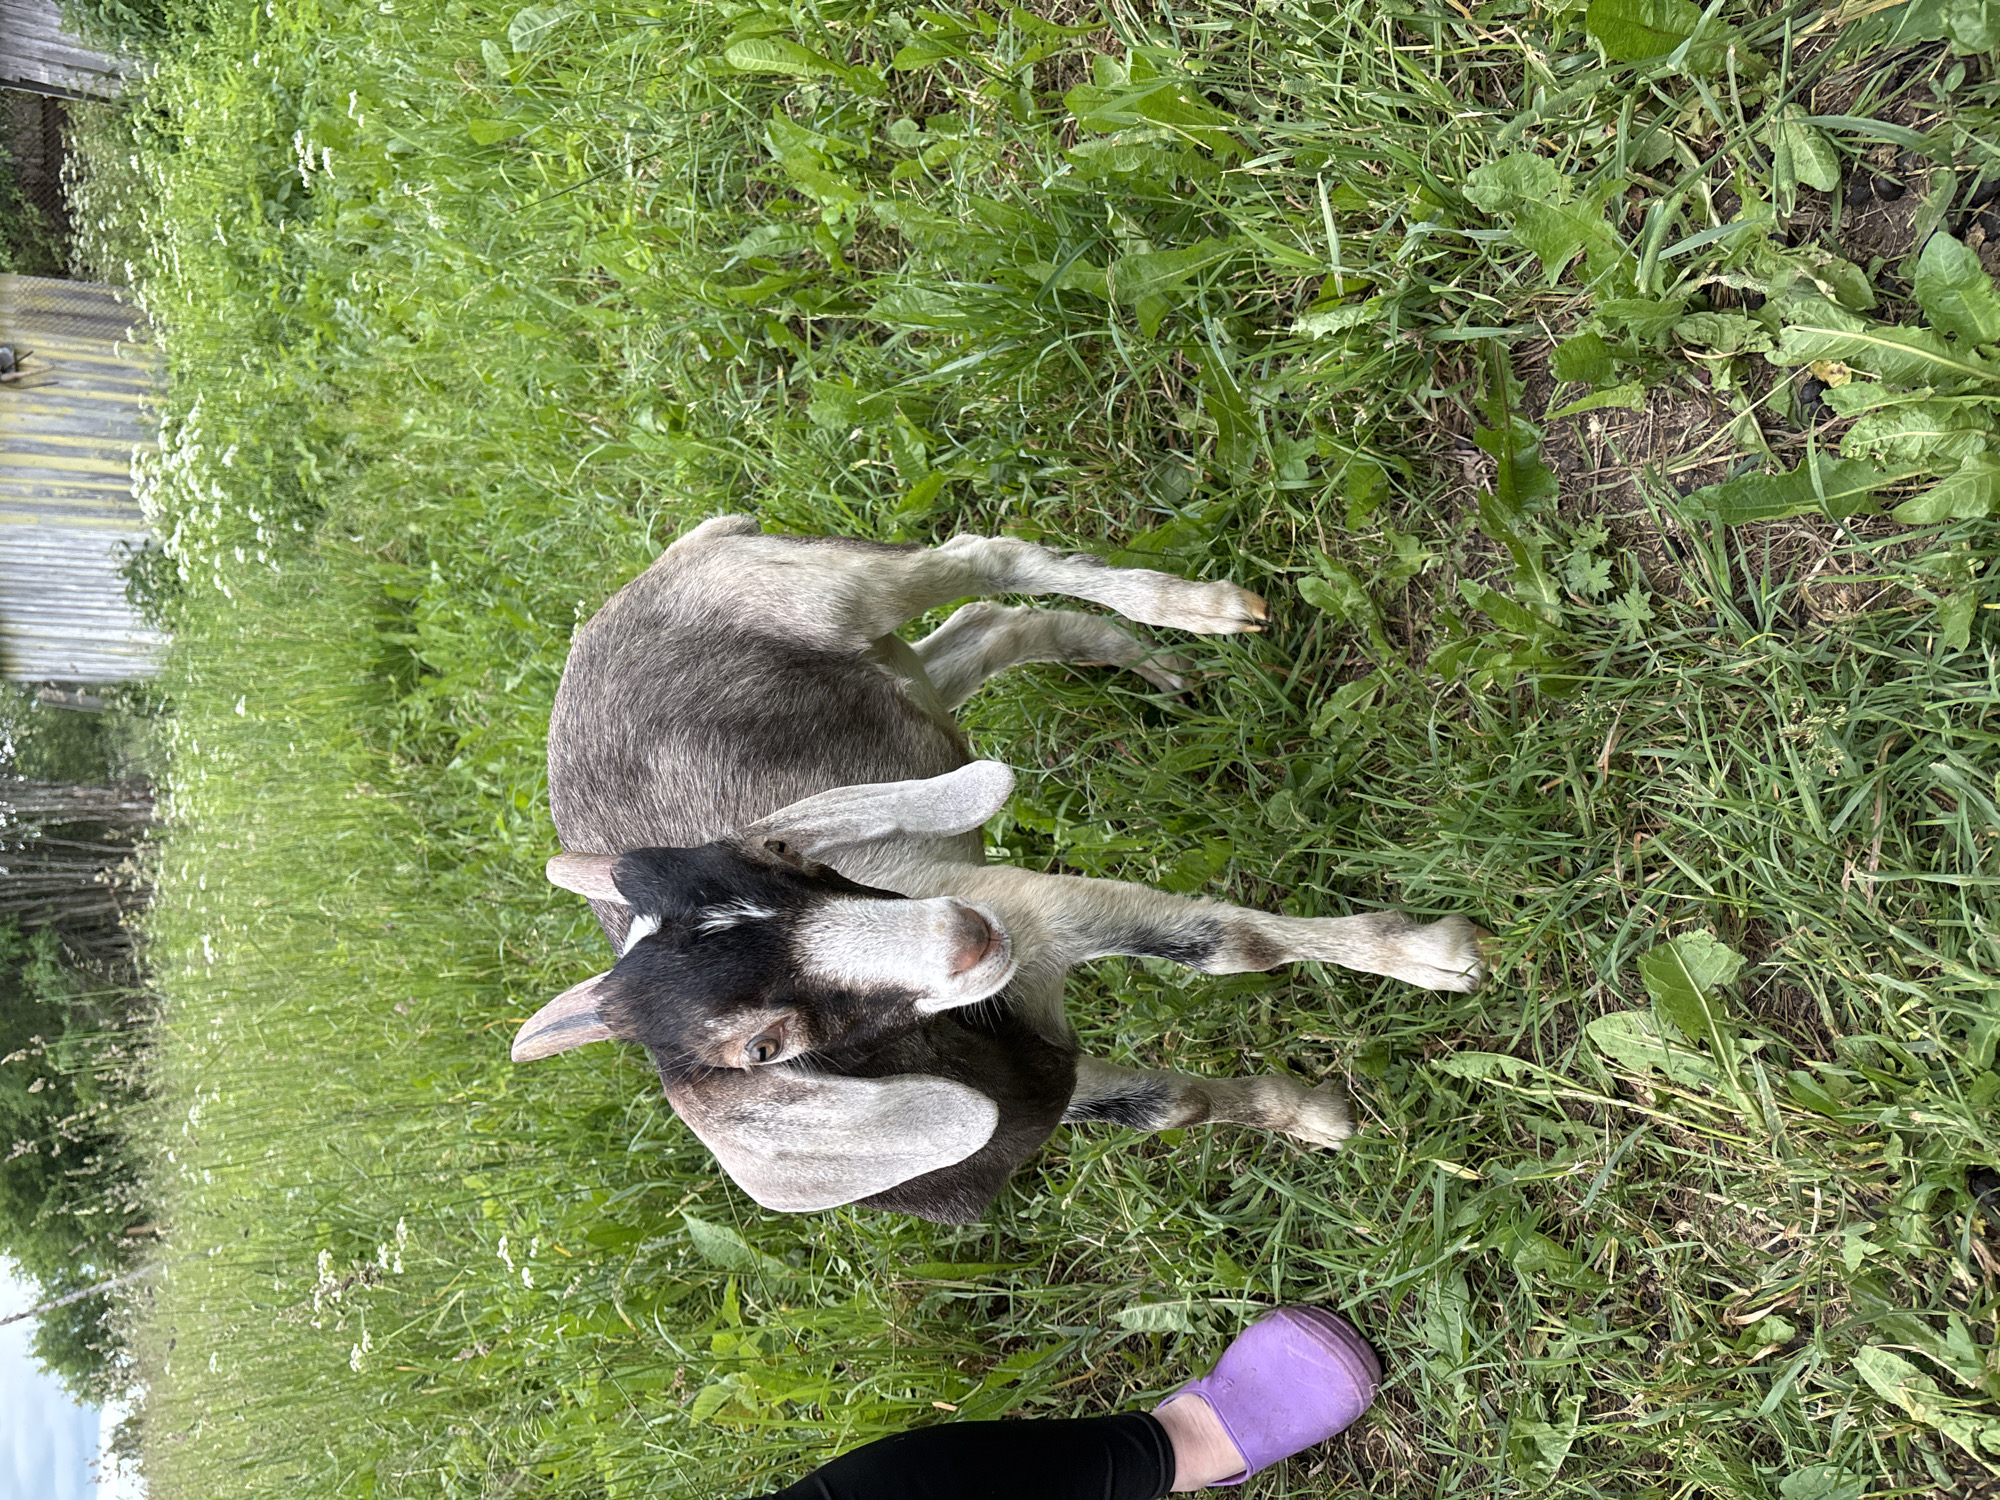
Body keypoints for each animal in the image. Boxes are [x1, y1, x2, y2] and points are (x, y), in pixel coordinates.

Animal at [514, 517, 1486, 1223]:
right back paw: (1146, 658)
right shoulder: (1029, 1065)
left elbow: (1228, 943)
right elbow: (1168, 1105)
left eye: (779, 853)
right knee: (990, 631)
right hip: (895, 692)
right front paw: (1309, 1115)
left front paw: (1433, 957)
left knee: (985, 559)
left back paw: (1202, 611)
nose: (959, 932)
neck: (990, 1013)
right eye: (762, 1049)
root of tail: (657, 569)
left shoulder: (1033, 905)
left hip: (825, 590)